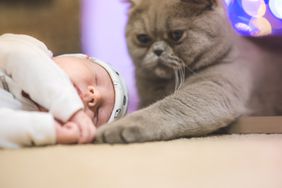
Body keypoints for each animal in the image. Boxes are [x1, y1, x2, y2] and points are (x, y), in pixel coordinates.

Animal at [96, 0, 282, 142]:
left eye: (177, 35)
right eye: (143, 39)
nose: (157, 50)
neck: (165, 85)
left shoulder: (212, 87)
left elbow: (167, 106)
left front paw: (113, 128)